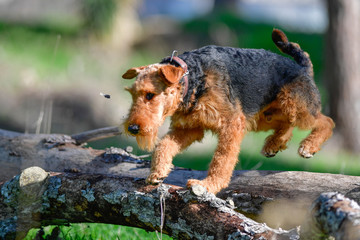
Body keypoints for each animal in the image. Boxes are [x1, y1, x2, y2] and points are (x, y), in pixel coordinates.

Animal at [121, 29, 334, 195]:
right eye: (132, 94)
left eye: (150, 95)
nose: (132, 128)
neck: (193, 79)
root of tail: (302, 67)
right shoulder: (190, 128)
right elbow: (163, 145)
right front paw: (157, 173)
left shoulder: (232, 124)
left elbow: (222, 159)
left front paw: (208, 185)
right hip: (265, 115)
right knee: (287, 125)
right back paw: (274, 144)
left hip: (296, 107)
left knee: (326, 121)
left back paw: (308, 146)